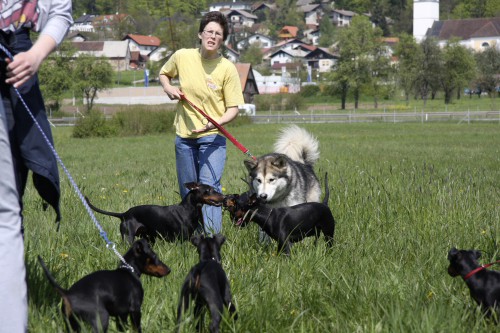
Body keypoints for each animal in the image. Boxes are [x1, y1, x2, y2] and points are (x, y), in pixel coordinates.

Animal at [38, 239, 171, 332]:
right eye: (155, 256)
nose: (169, 270)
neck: (128, 270)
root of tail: (68, 293)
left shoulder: (121, 315)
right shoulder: (135, 309)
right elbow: (137, 328)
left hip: (72, 324)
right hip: (101, 318)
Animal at [86, 183, 225, 243]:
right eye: (209, 190)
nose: (223, 197)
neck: (188, 209)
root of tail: (124, 214)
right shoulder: (181, 240)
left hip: (148, 238)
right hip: (128, 237)